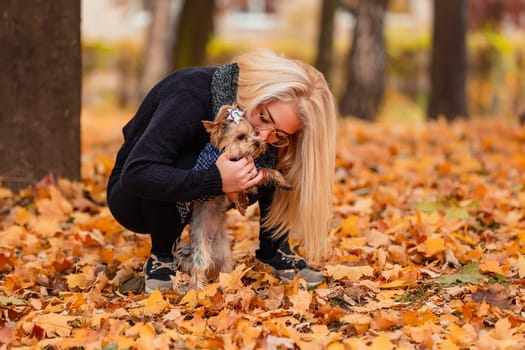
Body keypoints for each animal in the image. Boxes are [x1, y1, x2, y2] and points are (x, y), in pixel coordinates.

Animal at [178, 104, 292, 290]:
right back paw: (197, 291)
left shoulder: (254, 170)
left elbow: (267, 171)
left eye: (255, 133)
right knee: (199, 268)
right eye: (240, 137)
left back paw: (228, 284)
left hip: (225, 252)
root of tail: (211, 242)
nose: (258, 142)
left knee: (224, 268)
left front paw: (281, 182)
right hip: (202, 252)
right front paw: (242, 201)